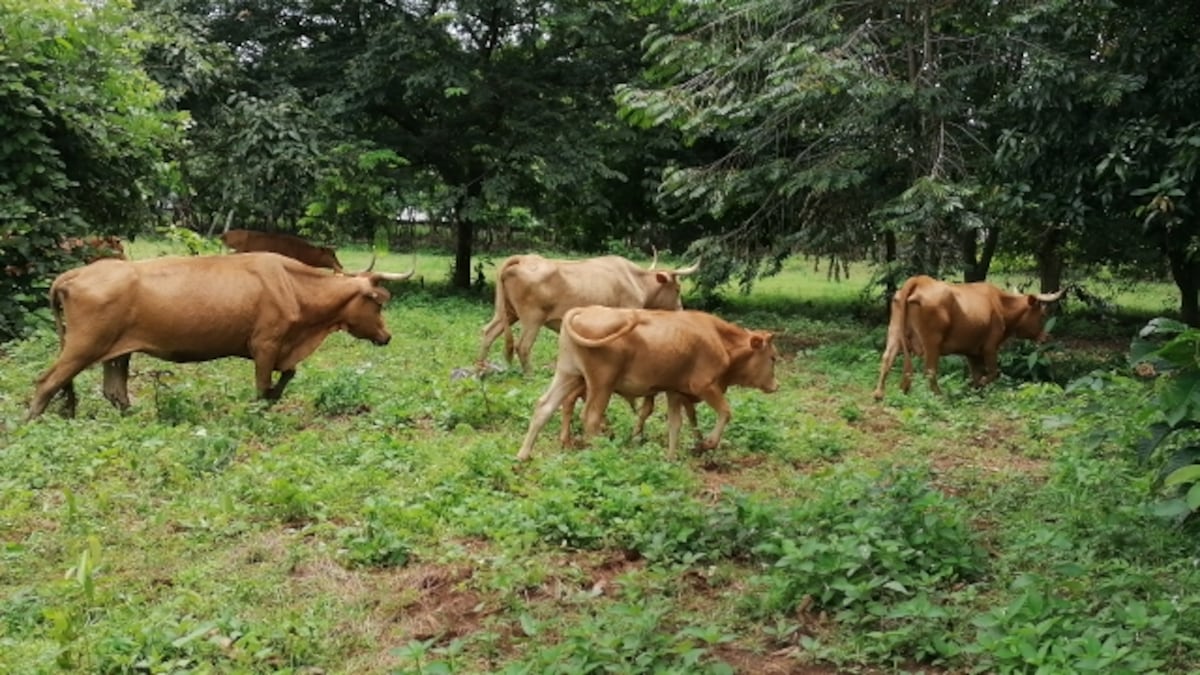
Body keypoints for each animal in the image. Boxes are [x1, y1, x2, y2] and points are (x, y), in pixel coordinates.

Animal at [25, 249, 415, 417]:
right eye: (378, 305)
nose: (387, 336)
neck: (293, 286)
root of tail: (76, 273)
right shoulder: (267, 344)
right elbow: (263, 385)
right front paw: (264, 406)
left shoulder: (279, 347)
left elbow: (288, 373)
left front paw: (275, 396)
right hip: (83, 345)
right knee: (47, 382)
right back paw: (31, 425)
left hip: (118, 350)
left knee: (114, 391)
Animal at [477, 251, 700, 369]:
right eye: (677, 288)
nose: (680, 310)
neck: (636, 279)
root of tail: (523, 258)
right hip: (533, 318)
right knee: (522, 346)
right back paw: (529, 375)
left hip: (506, 313)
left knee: (488, 333)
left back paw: (479, 370)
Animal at [513, 306, 777, 458]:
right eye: (773, 357)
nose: (776, 386)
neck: (720, 340)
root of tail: (580, 311)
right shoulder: (704, 386)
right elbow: (725, 412)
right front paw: (708, 443)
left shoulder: (674, 391)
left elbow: (676, 424)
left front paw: (673, 457)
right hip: (601, 383)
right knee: (590, 417)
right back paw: (602, 451)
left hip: (568, 373)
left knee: (545, 406)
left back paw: (523, 455)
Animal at [873, 275, 1070, 398]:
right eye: (1041, 314)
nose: (1046, 337)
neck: (1000, 305)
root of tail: (920, 280)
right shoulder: (990, 347)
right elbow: (993, 373)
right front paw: (977, 386)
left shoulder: (972, 352)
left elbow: (977, 374)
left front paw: (975, 390)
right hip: (932, 342)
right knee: (930, 370)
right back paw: (939, 395)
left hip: (894, 333)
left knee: (887, 358)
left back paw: (879, 394)